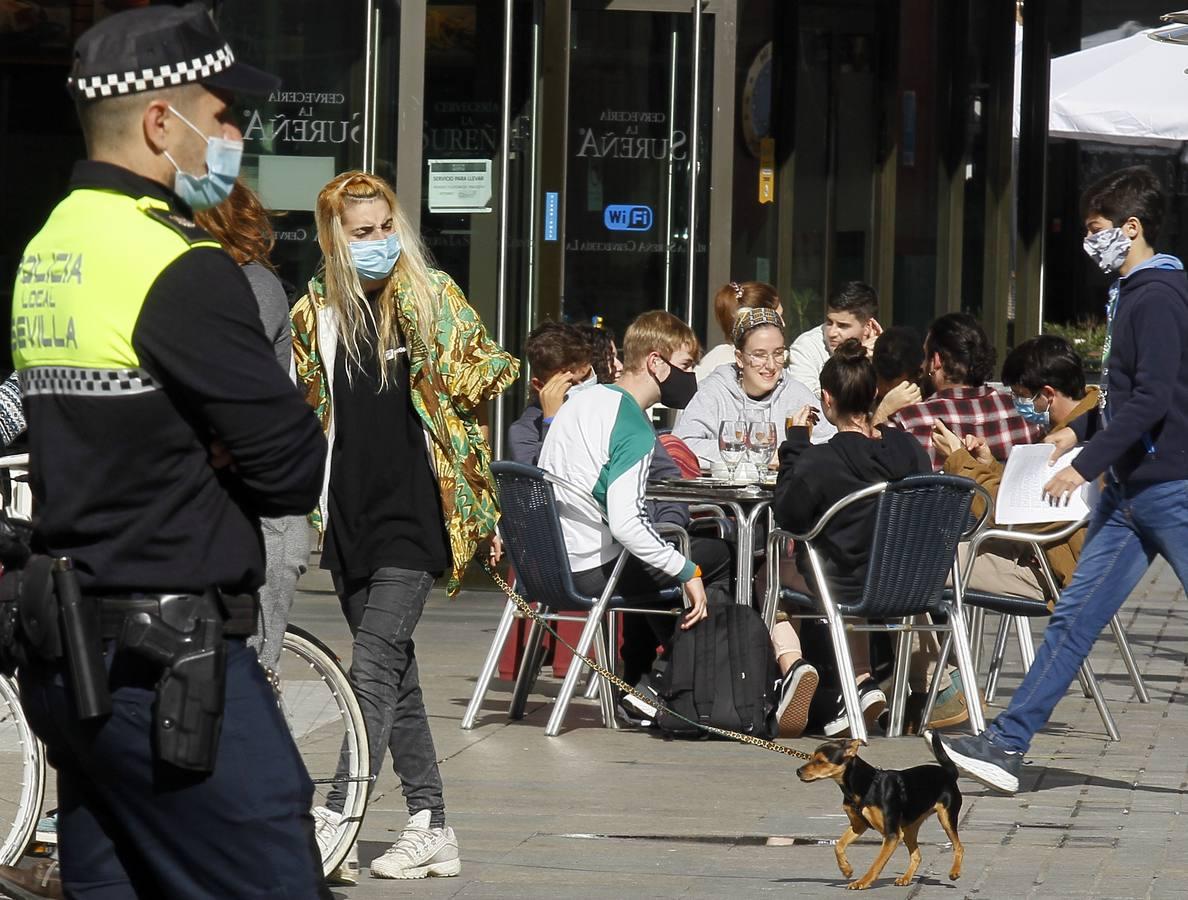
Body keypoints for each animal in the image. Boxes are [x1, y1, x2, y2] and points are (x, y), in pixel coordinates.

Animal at [793, 736, 959, 892]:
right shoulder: (858, 825)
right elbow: (839, 845)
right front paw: (846, 869)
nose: (798, 771)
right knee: (917, 855)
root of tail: (949, 774)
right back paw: (905, 878)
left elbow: (877, 863)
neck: (866, 785)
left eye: (820, 761)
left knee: (959, 846)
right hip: (908, 828)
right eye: (811, 757)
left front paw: (862, 882)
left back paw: (955, 872)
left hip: (946, 819)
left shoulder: (892, 834)